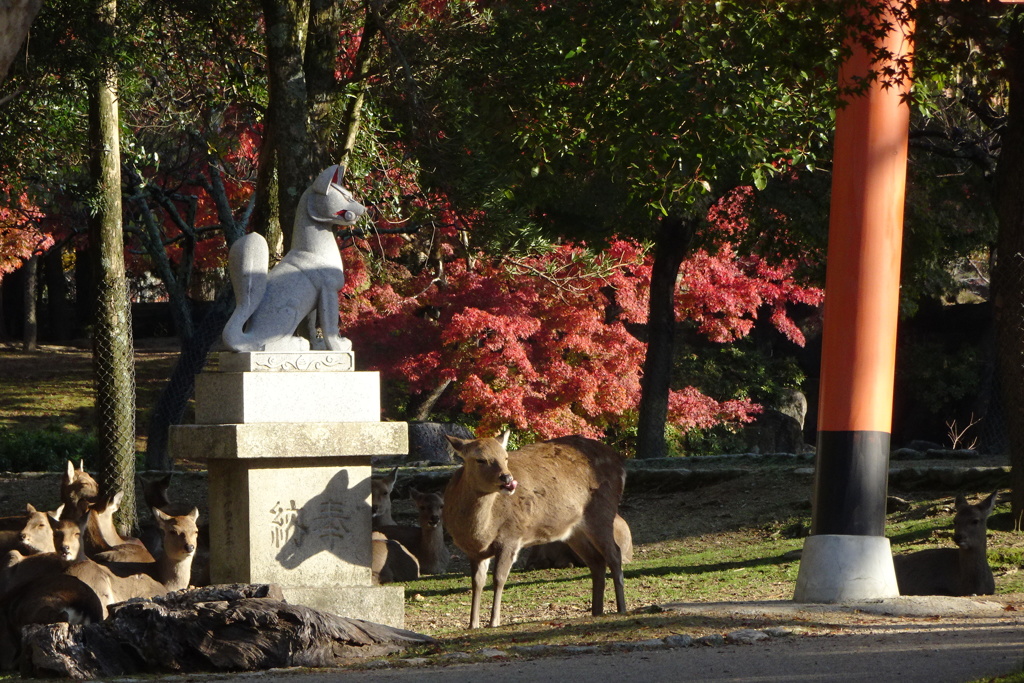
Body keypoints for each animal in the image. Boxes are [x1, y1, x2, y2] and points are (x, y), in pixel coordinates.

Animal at [444, 436, 626, 626]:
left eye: (505, 457)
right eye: (480, 459)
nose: (507, 478)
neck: (480, 532)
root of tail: (620, 463)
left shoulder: (510, 537)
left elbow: (499, 579)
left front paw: (494, 622)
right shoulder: (474, 552)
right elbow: (477, 582)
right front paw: (473, 624)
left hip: (602, 512)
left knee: (615, 555)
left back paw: (621, 608)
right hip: (574, 532)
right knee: (597, 562)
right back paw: (597, 612)